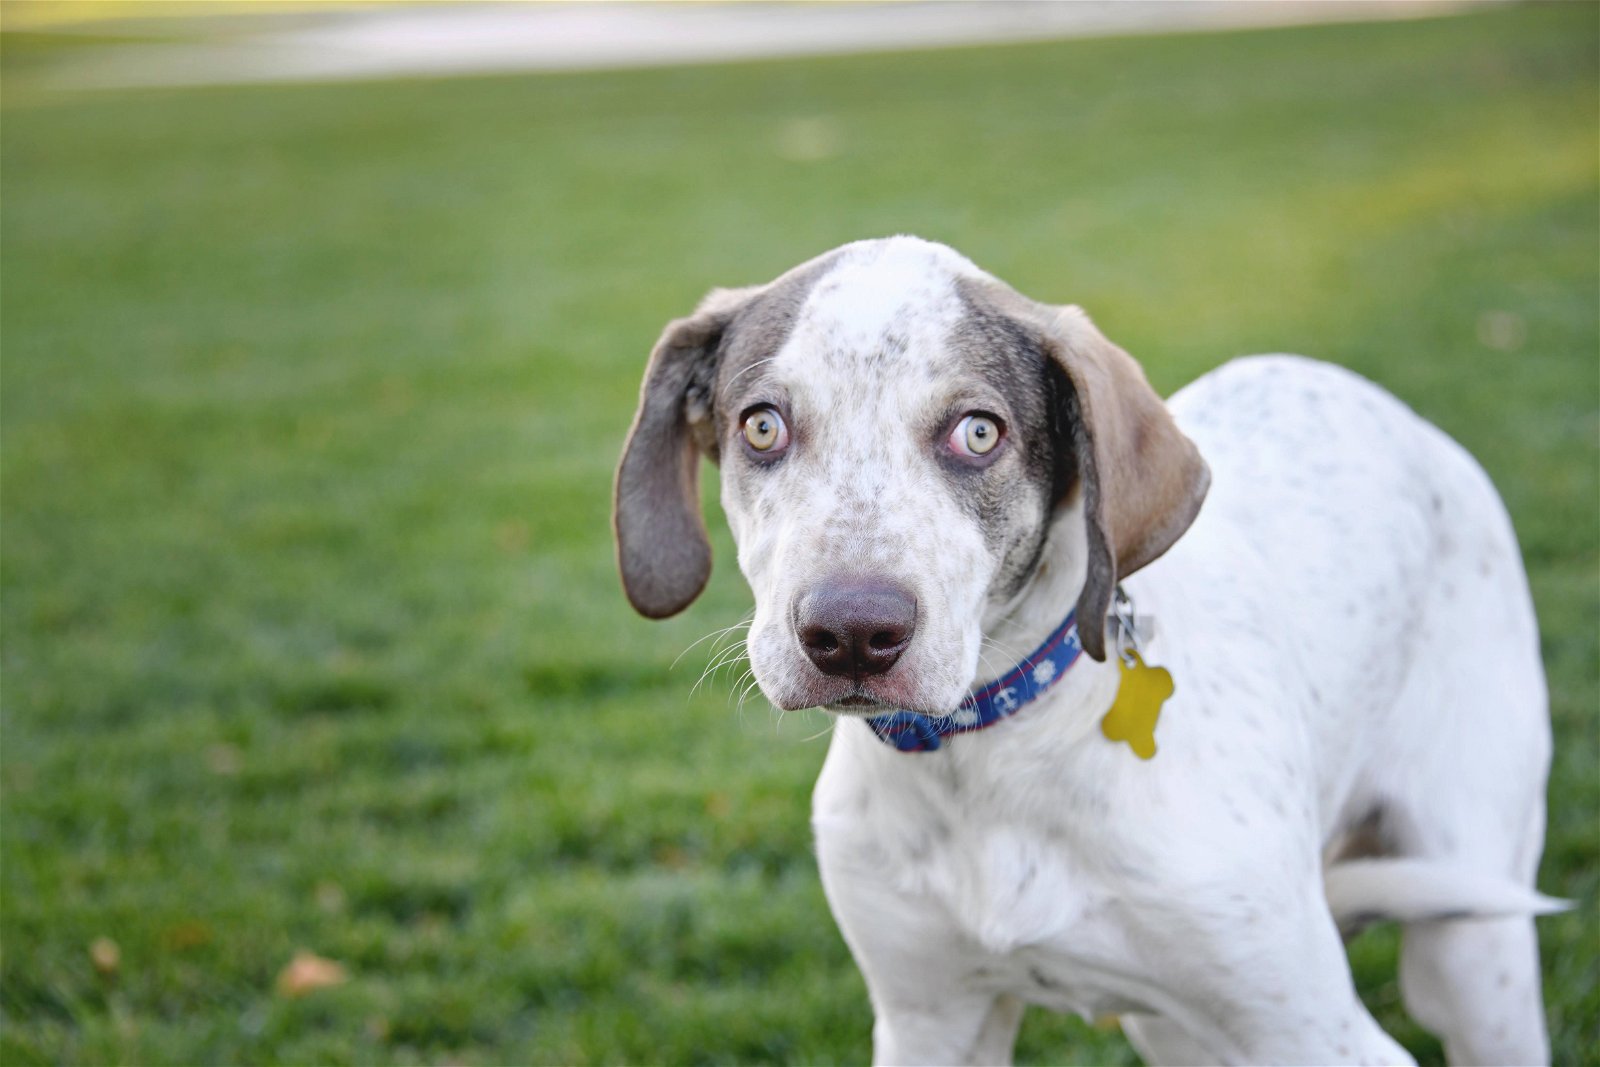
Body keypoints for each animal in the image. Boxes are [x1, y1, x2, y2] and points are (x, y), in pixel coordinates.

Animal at [611, 238, 1561, 1062]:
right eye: (762, 427)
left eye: (979, 432)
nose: (850, 634)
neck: (987, 759)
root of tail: (1394, 411)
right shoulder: (929, 1019)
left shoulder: (1318, 1035)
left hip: (1472, 953)